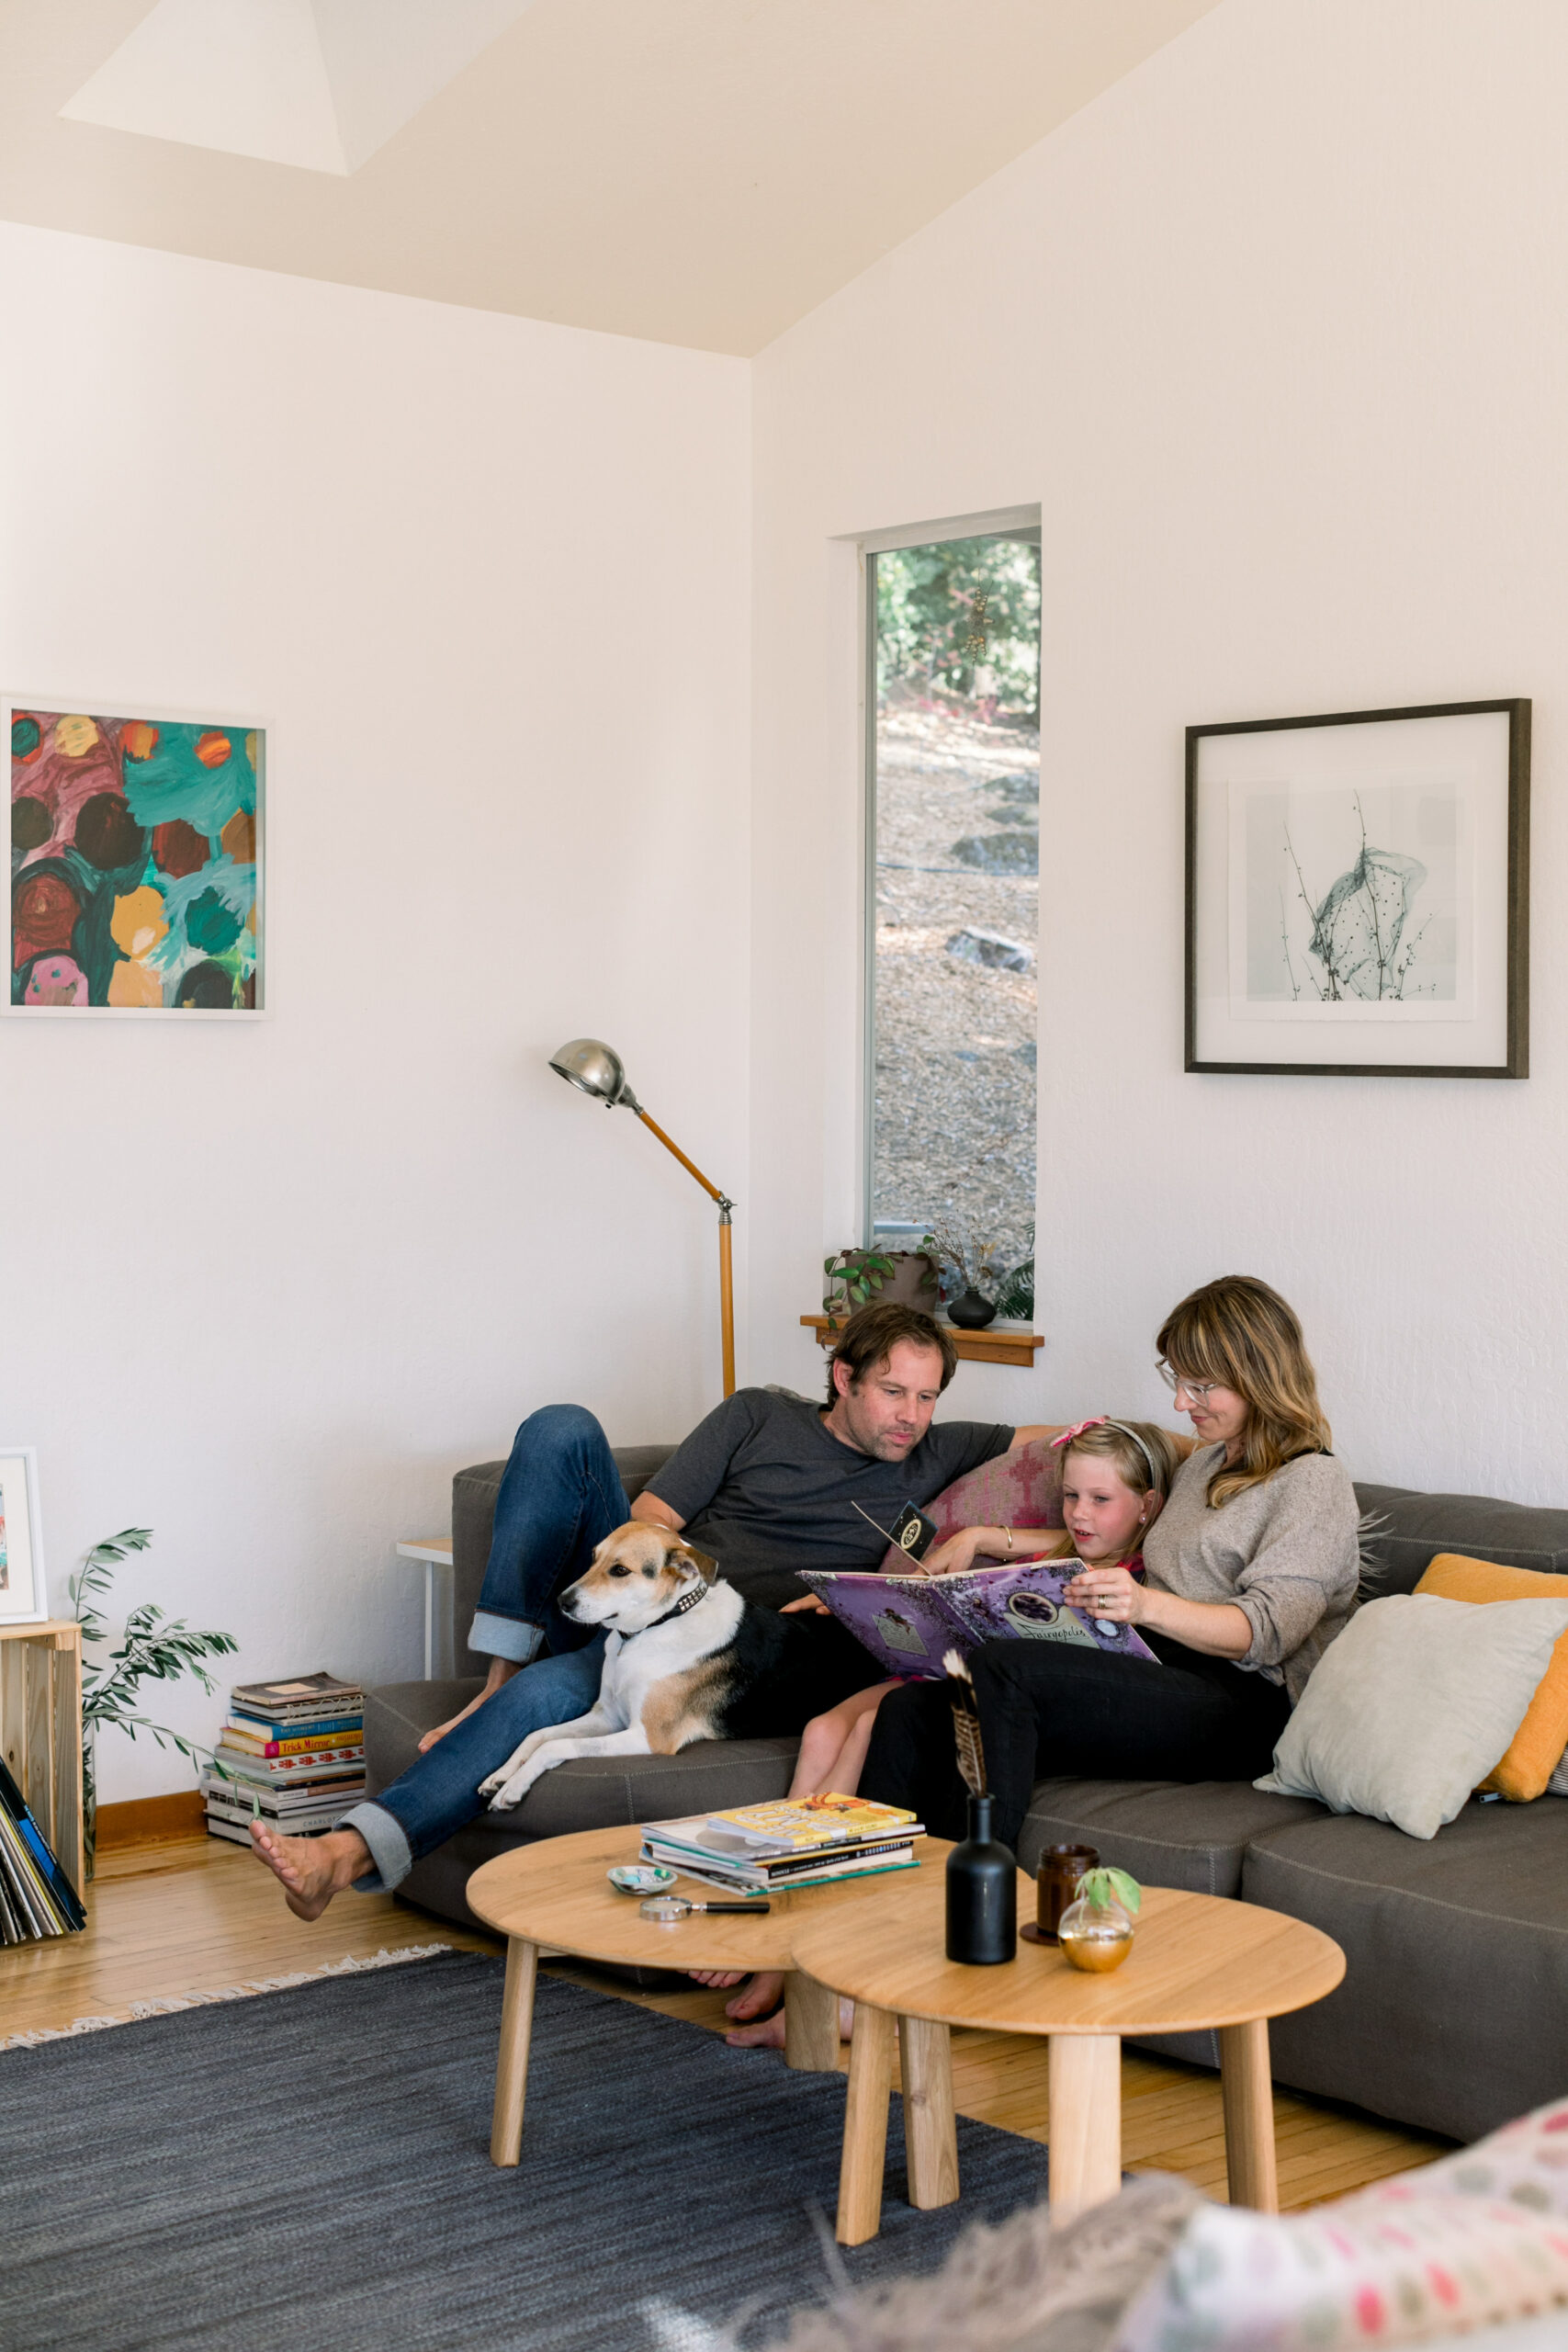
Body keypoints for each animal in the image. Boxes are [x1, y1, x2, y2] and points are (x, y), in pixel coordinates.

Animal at [481, 1514, 831, 1806]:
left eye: (620, 1570)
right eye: (593, 1559)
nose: (562, 1602)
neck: (648, 1631)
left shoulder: (648, 1738)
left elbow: (556, 1746)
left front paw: (514, 1787)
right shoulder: (609, 1716)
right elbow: (538, 1735)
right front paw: (501, 1775)